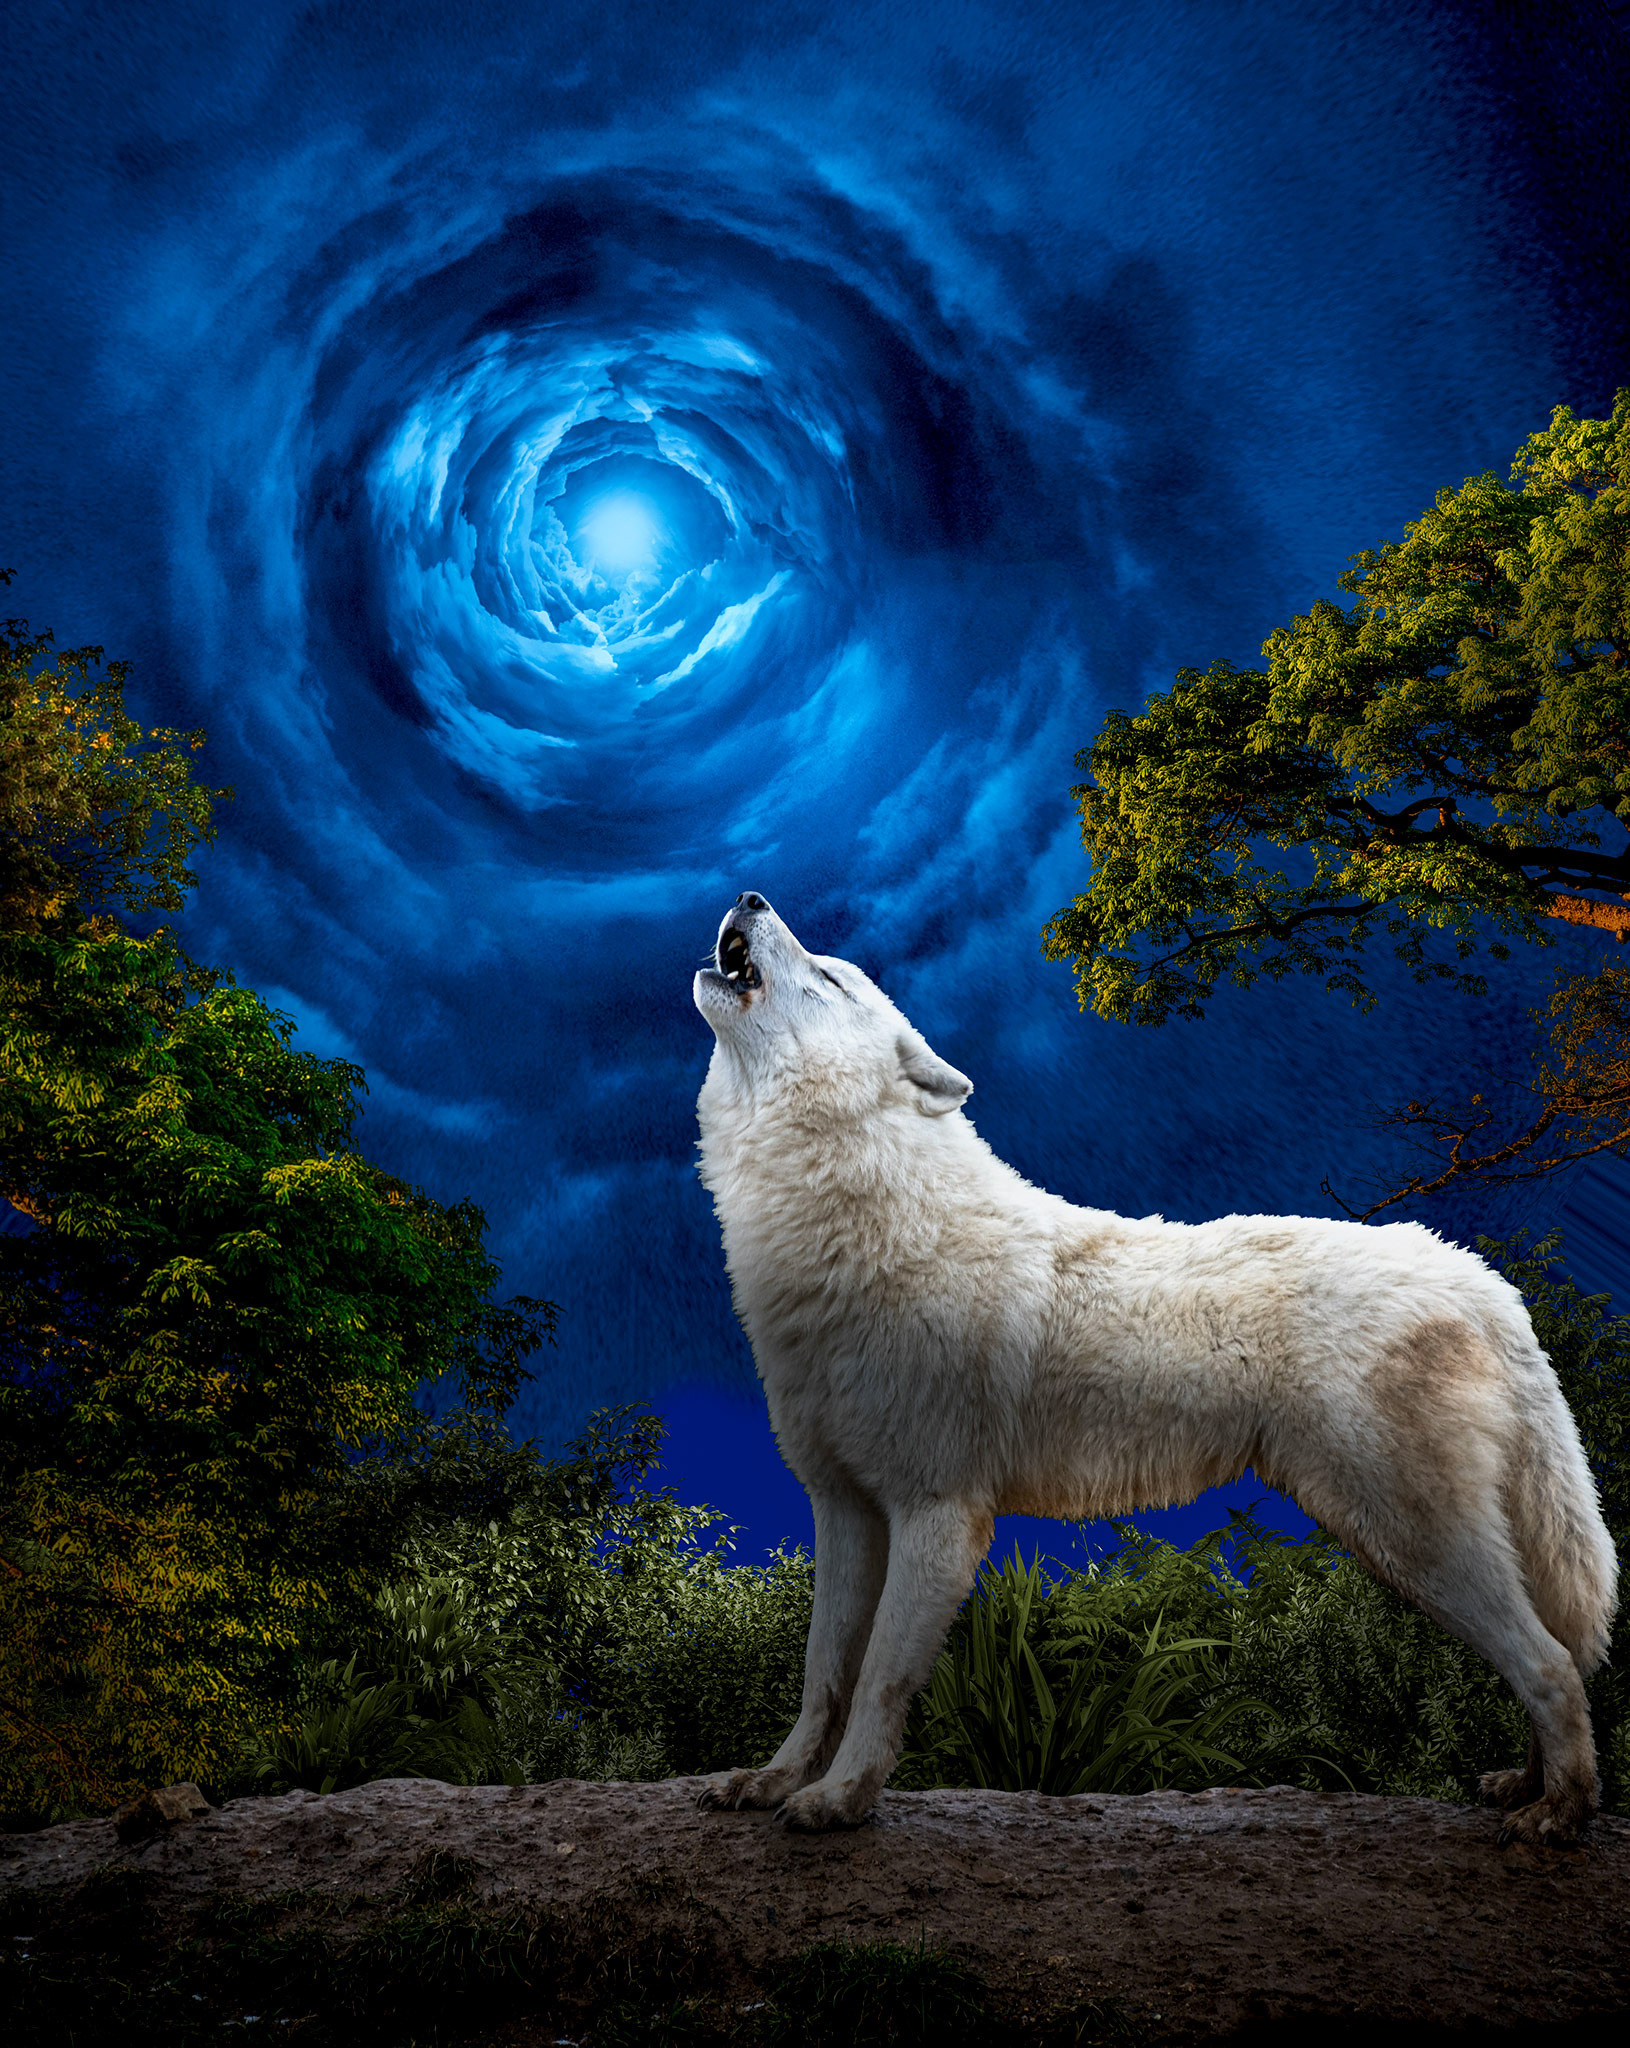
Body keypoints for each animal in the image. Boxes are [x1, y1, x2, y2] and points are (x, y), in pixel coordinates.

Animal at [691, 893, 1617, 1840]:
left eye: (829, 976)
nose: (753, 899)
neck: (856, 1227)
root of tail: (1475, 1274)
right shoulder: (842, 1508)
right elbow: (823, 1672)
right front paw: (771, 1780)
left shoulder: (936, 1514)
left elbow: (879, 1676)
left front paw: (841, 1799)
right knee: (1551, 1655)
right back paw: (1526, 1788)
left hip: (1409, 1538)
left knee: (1552, 1663)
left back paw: (1561, 1813)